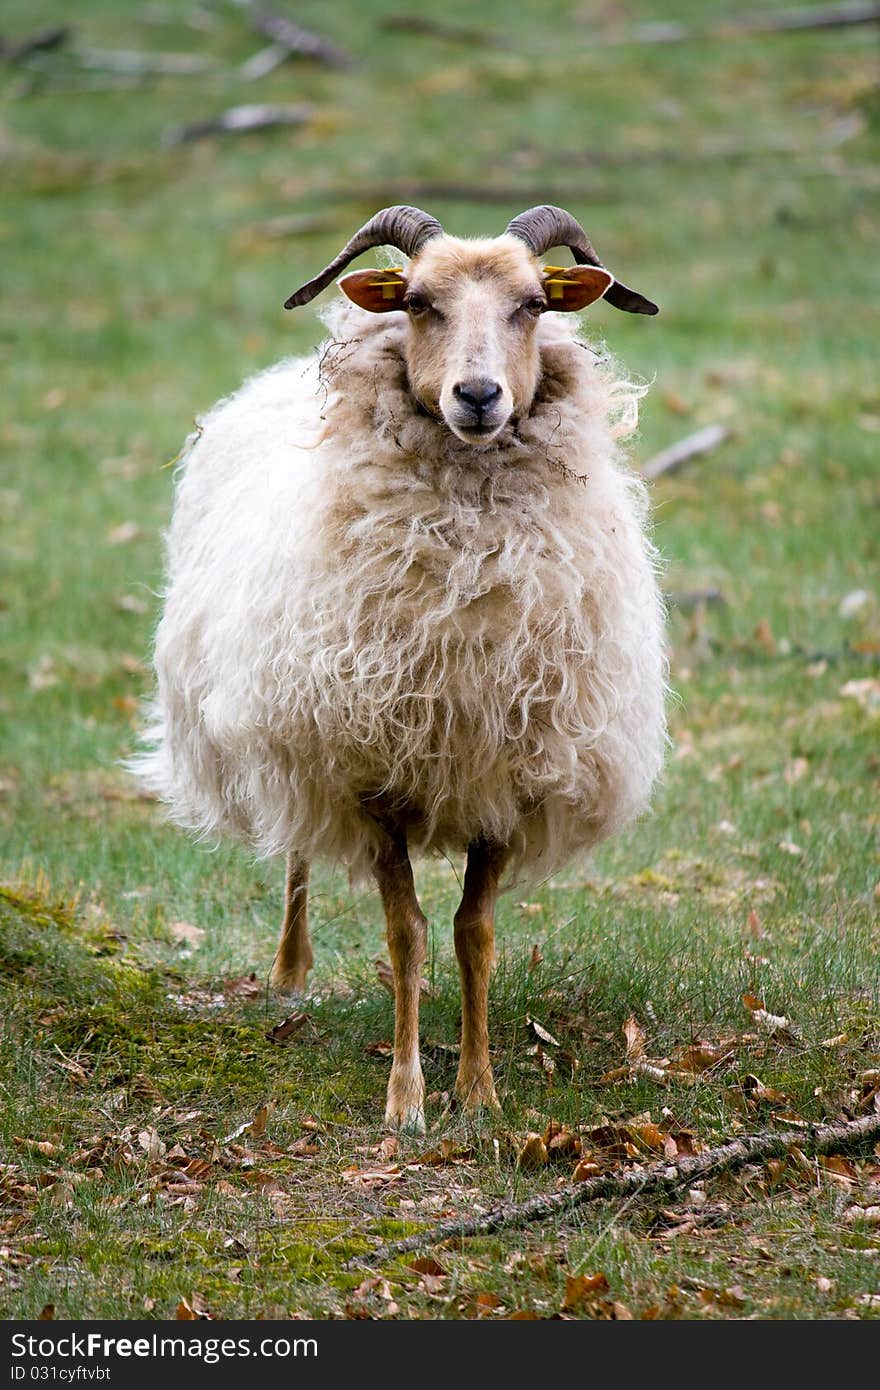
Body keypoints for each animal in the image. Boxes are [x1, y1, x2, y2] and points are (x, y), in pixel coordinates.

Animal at [134, 208, 661, 1139]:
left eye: (533, 304)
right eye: (417, 302)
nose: (478, 396)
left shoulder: (504, 773)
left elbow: (472, 933)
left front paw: (480, 1091)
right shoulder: (372, 774)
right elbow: (407, 935)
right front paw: (406, 1099)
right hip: (294, 724)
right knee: (297, 853)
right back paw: (291, 969)